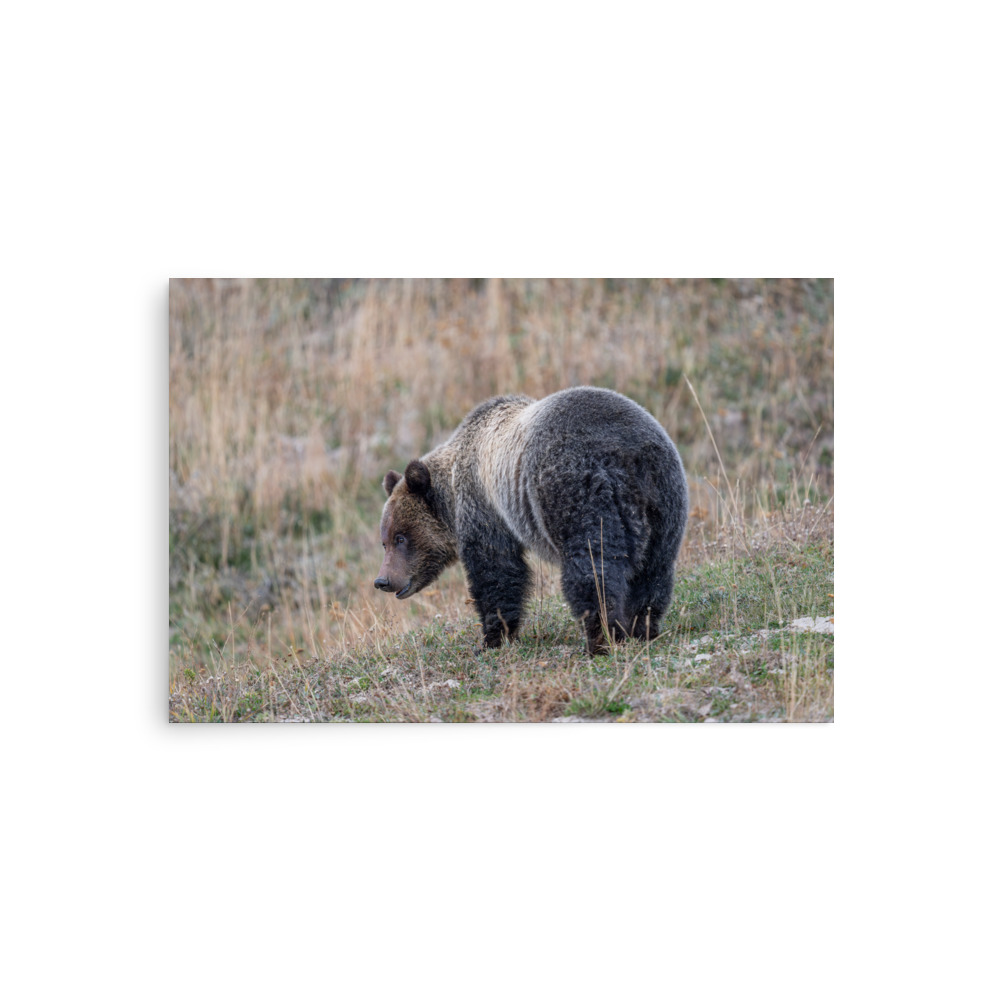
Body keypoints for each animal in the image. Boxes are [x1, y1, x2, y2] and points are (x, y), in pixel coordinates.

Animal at [374, 386, 688, 655]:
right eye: (384, 541)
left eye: (401, 537)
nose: (383, 580)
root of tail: (628, 455)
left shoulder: (485, 508)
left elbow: (497, 572)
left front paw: (492, 638)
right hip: (665, 501)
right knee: (653, 570)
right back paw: (642, 627)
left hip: (577, 491)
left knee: (593, 568)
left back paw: (601, 638)